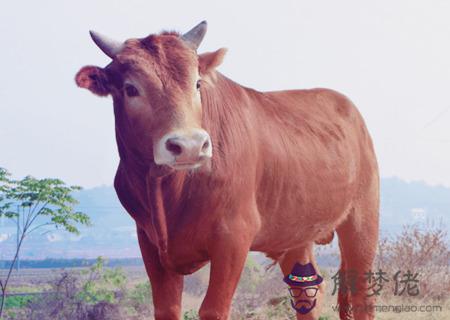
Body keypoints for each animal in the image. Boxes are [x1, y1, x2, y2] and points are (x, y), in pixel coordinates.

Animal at [75, 21, 378, 318]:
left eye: (197, 83)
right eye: (130, 89)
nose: (190, 146)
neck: (169, 189)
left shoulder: (234, 237)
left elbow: (213, 308)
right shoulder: (149, 242)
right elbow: (167, 308)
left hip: (361, 221)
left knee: (362, 292)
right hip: (297, 233)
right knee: (306, 290)